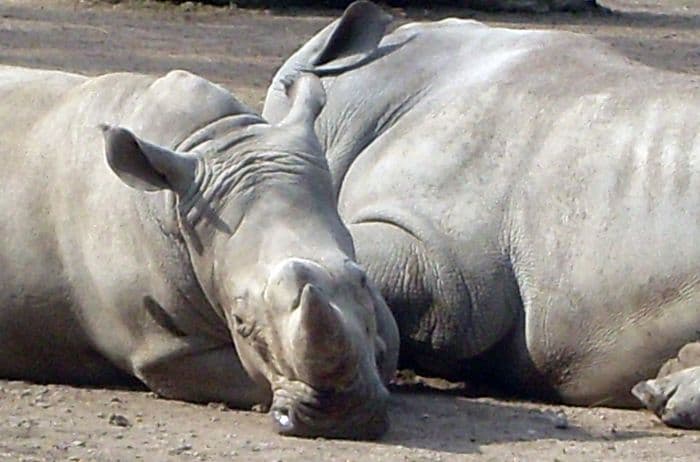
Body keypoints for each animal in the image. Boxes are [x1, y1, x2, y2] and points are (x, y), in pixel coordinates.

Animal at [0, 64, 400, 439]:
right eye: (240, 322)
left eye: (362, 280)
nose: (342, 415)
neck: (210, 138)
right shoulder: (163, 351)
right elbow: (249, 377)